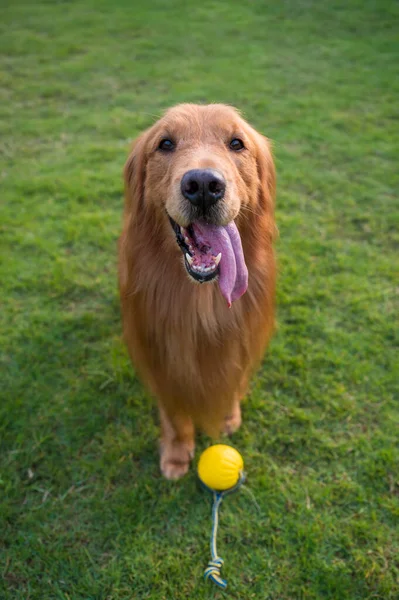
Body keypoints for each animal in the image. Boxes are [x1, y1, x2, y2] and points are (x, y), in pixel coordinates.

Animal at [117, 102, 276, 478]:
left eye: (236, 143)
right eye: (165, 144)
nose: (203, 184)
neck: (202, 303)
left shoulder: (242, 336)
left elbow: (233, 376)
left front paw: (229, 415)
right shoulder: (158, 352)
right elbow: (174, 412)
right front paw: (177, 453)